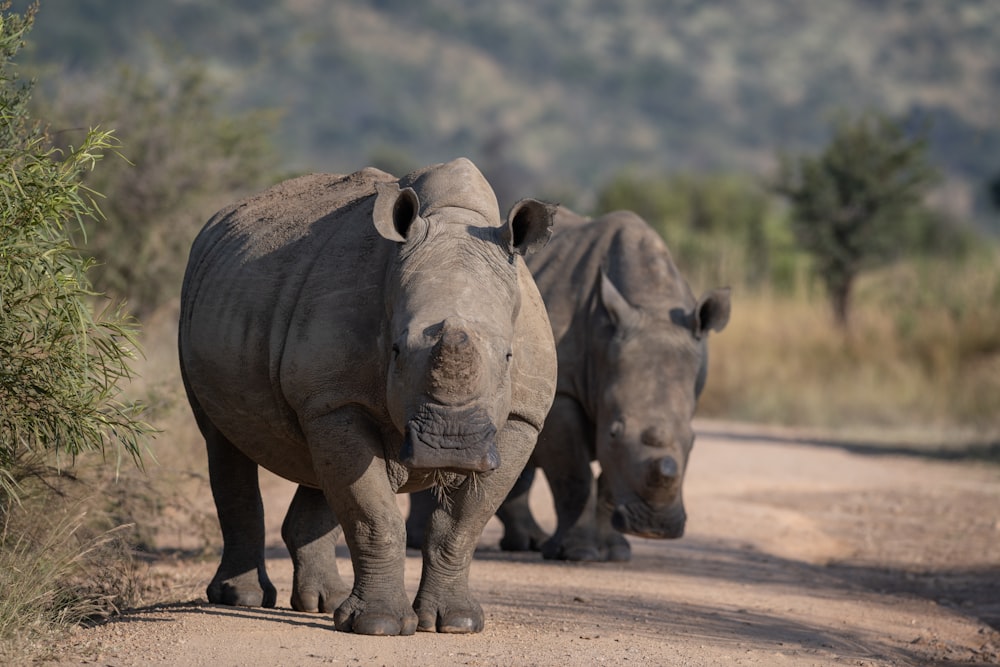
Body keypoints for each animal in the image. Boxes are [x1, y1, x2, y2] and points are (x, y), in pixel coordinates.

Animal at [178, 158, 556, 636]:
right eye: (395, 351)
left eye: (508, 356)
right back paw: (243, 599)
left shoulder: (522, 418)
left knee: (315, 459)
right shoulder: (338, 399)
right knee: (224, 444)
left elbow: (461, 523)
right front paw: (379, 626)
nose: (452, 446)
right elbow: (374, 513)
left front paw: (457, 624)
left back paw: (321, 603)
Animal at [498, 206, 728, 560]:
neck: (652, 301)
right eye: (614, 432)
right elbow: (574, 475)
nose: (654, 528)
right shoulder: (562, 392)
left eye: (693, 442)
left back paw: (526, 544)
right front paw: (579, 554)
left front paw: (615, 552)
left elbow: (609, 479)